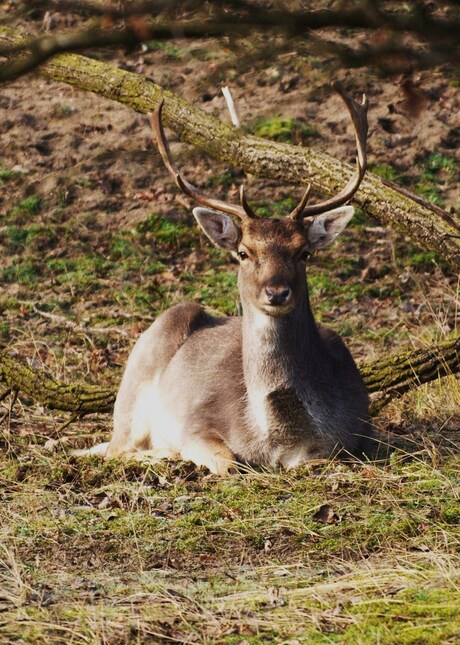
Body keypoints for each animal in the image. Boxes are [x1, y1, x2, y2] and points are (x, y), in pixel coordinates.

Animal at [78, 83, 370, 472]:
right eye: (243, 253)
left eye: (303, 252)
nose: (276, 292)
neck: (275, 438)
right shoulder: (197, 423)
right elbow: (230, 462)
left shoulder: (353, 435)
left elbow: (321, 459)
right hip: (135, 379)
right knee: (116, 448)